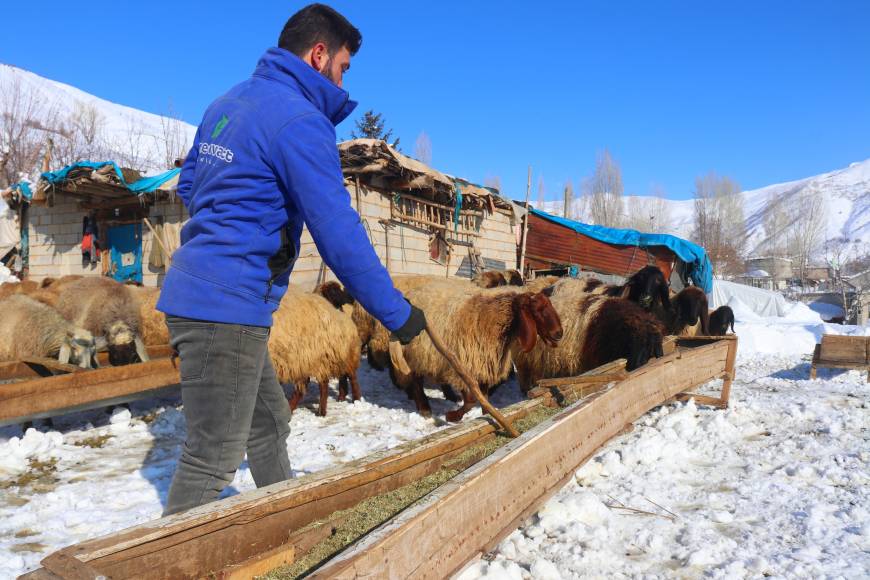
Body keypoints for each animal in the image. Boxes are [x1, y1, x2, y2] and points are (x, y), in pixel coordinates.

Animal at [390, 286, 564, 422]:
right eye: (537, 310)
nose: (559, 333)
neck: (491, 321)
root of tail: (412, 293)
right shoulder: (464, 368)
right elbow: (471, 401)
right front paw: (452, 416)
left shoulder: (484, 367)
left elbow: (484, 397)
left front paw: (487, 415)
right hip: (412, 356)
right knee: (416, 382)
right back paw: (424, 408)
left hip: (437, 358)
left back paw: (448, 396)